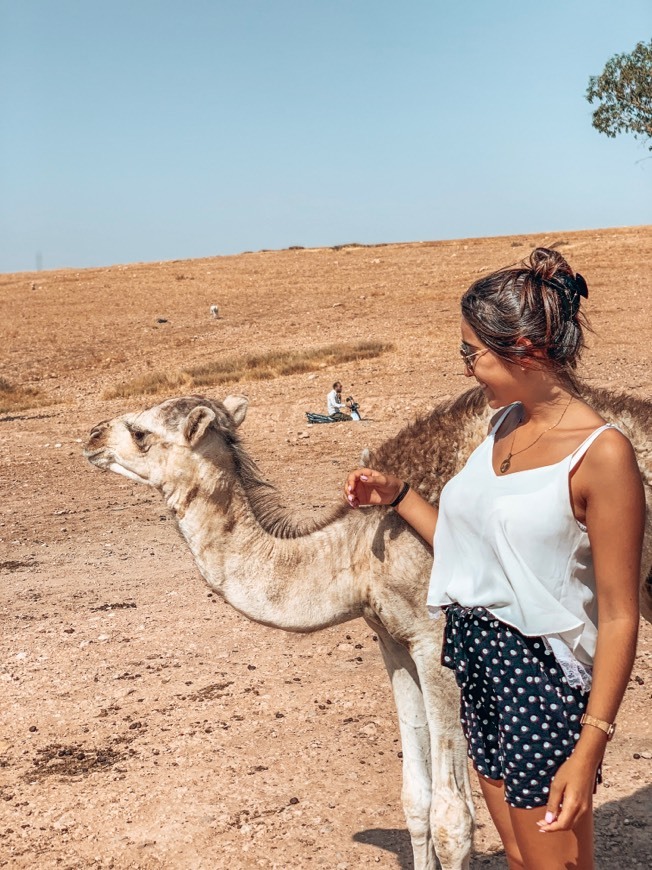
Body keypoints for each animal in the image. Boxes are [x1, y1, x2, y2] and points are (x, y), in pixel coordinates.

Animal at [85, 388, 652, 870]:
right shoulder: (394, 641)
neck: (358, 550)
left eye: (141, 431)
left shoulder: (437, 640)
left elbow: (453, 820)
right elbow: (417, 802)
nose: (90, 436)